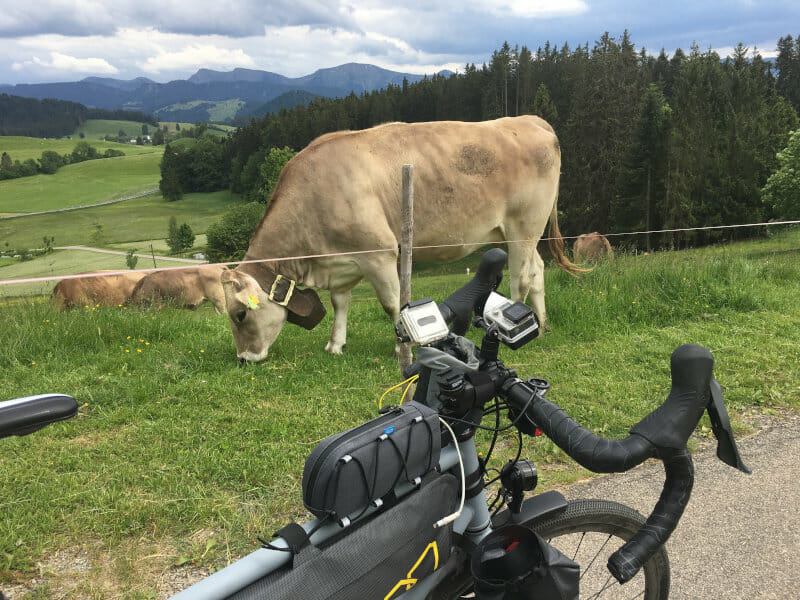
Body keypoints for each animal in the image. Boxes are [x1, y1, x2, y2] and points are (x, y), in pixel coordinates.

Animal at [222, 116, 584, 360]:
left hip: (523, 226)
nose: (244, 359)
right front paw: (335, 344)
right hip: (518, 232)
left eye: (240, 315)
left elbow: (393, 303)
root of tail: (528, 120)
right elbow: (340, 302)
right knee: (537, 270)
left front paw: (402, 347)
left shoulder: (379, 253)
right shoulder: (342, 258)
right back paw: (542, 324)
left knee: (521, 277)